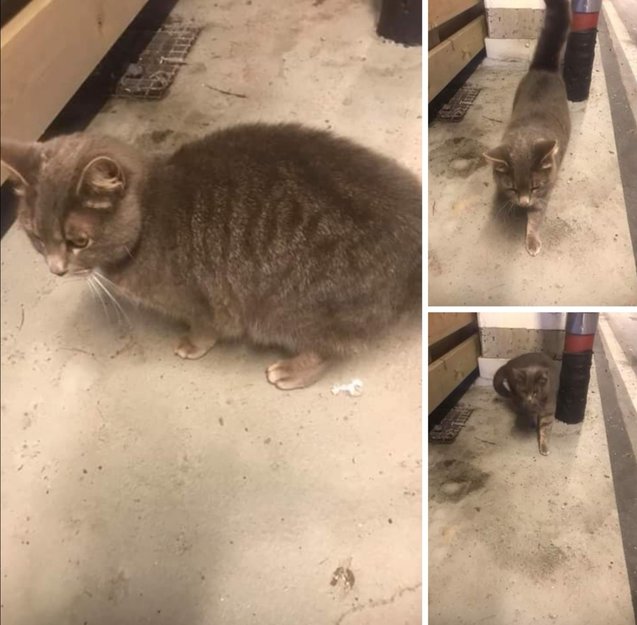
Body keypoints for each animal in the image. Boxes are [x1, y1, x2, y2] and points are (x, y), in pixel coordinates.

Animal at [0, 123, 421, 390]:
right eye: (36, 237)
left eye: (79, 241)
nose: (56, 270)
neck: (149, 217)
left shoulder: (202, 301)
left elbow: (205, 324)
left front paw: (193, 343)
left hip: (287, 309)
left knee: (331, 347)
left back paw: (292, 368)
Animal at [483, 0, 571, 256]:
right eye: (512, 188)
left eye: (534, 187)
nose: (523, 202)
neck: (525, 135)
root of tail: (544, 68)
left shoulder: (545, 190)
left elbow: (536, 216)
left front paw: (532, 239)